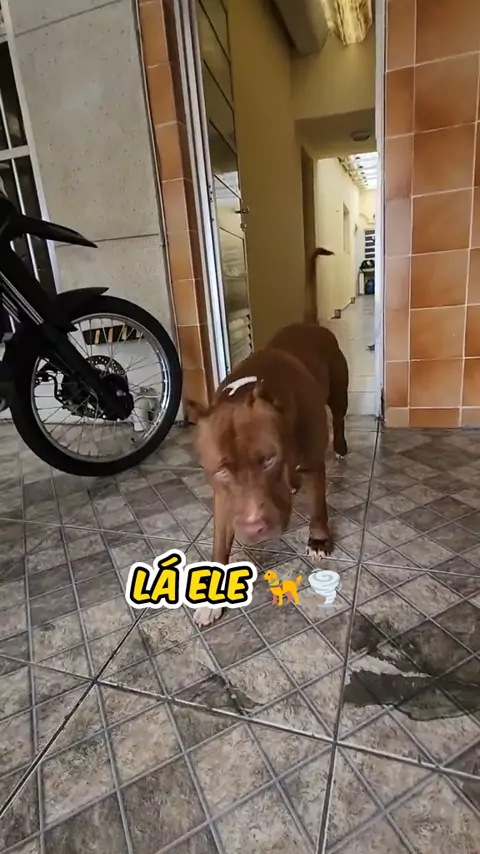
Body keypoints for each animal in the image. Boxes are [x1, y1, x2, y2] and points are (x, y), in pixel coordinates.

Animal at [190, 248, 349, 627]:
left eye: (269, 459)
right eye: (222, 470)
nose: (255, 526)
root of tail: (309, 324)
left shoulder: (311, 460)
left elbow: (318, 505)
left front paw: (319, 540)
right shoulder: (223, 497)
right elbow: (220, 541)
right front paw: (210, 597)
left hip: (339, 393)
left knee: (339, 417)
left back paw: (340, 448)